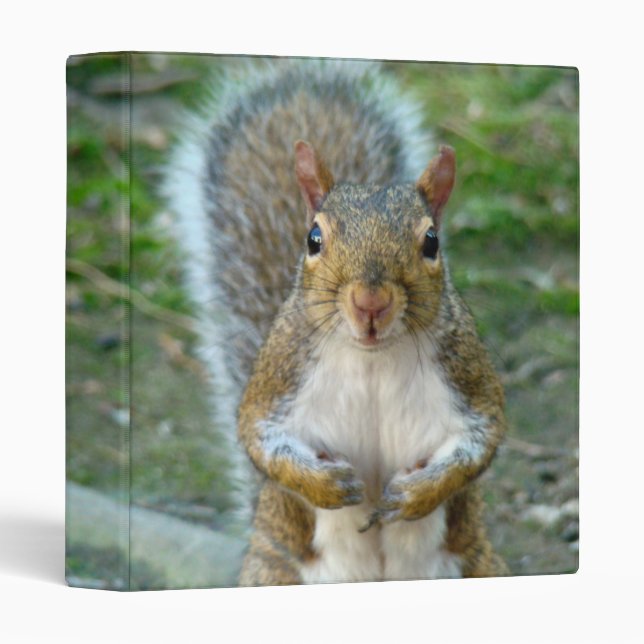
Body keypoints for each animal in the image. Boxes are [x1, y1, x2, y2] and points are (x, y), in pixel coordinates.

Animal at [165, 59, 508, 585]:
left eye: (431, 241)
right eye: (313, 238)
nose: (370, 302)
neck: (372, 358)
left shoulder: (467, 373)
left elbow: (482, 439)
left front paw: (415, 494)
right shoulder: (279, 375)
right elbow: (258, 437)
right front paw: (328, 486)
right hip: (273, 572)